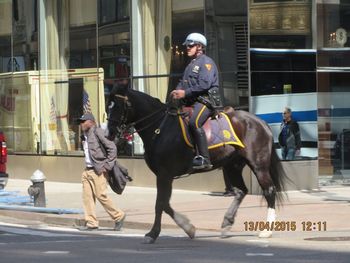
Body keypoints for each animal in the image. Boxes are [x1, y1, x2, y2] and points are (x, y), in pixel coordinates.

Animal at [107, 86, 288, 245]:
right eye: (109, 106)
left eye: (118, 106)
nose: (110, 133)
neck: (160, 128)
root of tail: (260, 122)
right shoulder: (164, 175)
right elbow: (165, 204)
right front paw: (188, 228)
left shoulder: (165, 174)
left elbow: (160, 204)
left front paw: (153, 234)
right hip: (233, 165)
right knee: (241, 191)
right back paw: (227, 223)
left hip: (258, 165)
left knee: (269, 190)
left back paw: (266, 230)